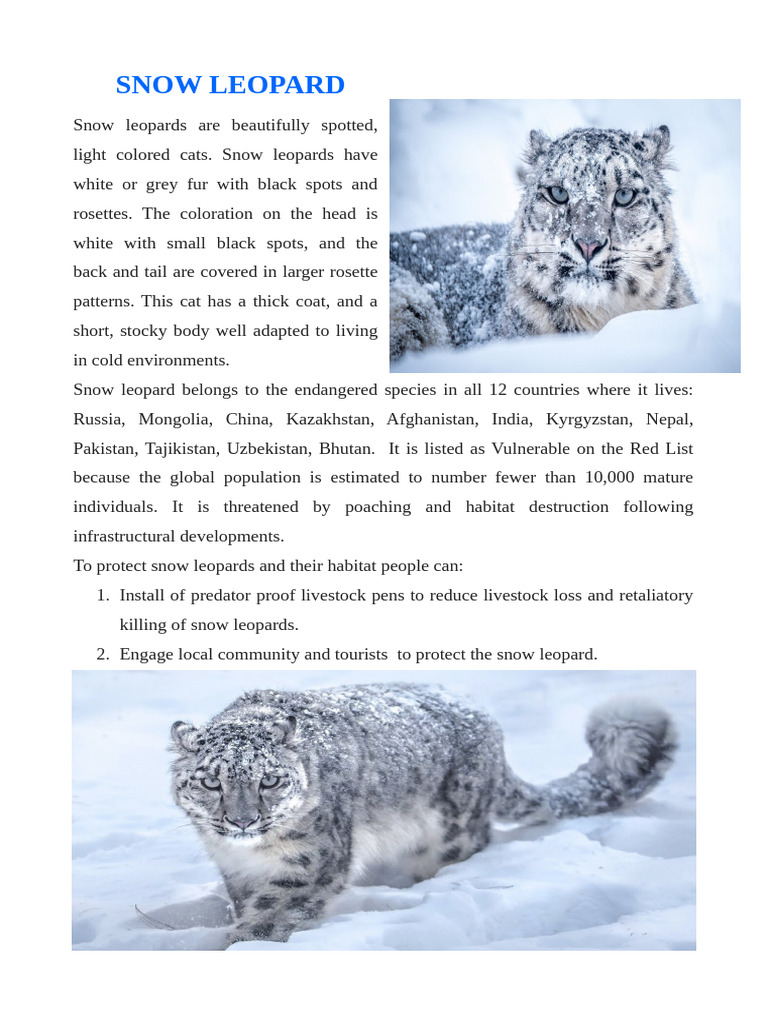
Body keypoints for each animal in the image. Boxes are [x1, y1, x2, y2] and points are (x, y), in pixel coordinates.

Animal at [170, 684, 677, 946]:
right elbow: (249, 901)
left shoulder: (311, 863)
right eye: (211, 782)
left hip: (453, 830)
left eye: (270, 781)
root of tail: (490, 728)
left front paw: (244, 944)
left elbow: (271, 913)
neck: (252, 854)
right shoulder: (236, 869)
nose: (242, 821)